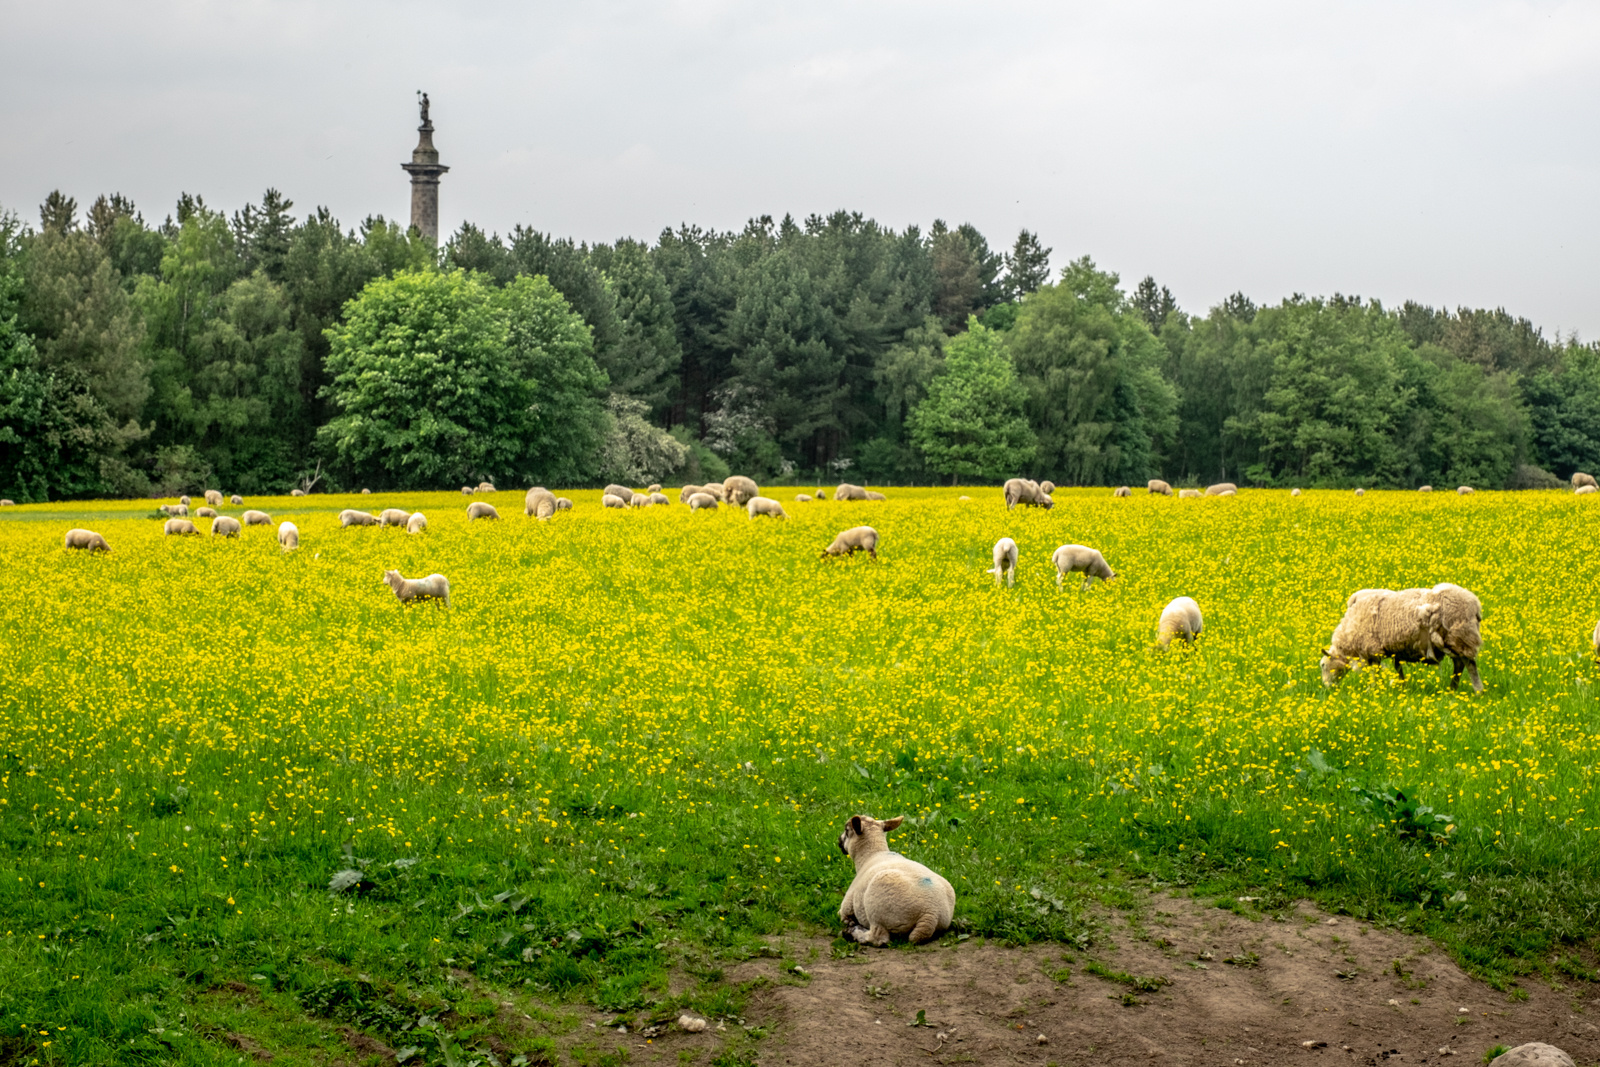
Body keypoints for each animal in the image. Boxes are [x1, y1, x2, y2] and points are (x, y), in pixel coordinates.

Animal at [838, 812, 947, 947]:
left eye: (846, 830)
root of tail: (931, 914)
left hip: (879, 910)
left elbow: (843, 915)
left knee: (878, 937)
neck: (871, 855)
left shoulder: (846, 906)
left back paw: (852, 932)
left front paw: (850, 924)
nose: (839, 841)